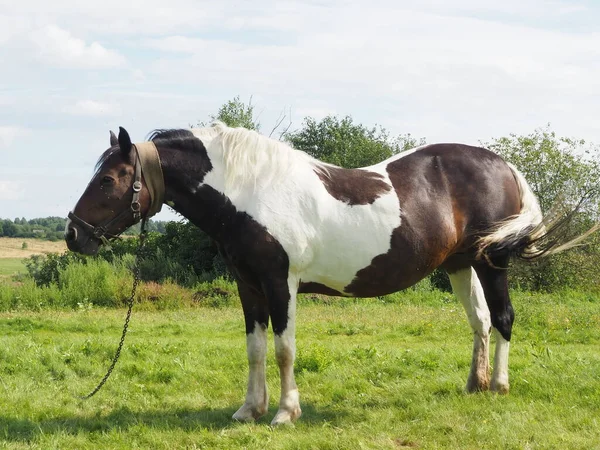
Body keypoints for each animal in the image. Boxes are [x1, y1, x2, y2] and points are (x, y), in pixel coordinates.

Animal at [65, 122, 592, 426]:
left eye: (108, 180)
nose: (73, 235)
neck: (251, 190)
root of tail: (503, 165)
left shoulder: (281, 284)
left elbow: (283, 349)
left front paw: (284, 413)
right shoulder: (248, 286)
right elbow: (256, 350)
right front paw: (248, 410)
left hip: (492, 262)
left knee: (502, 319)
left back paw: (499, 386)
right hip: (461, 265)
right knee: (480, 322)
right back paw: (474, 385)